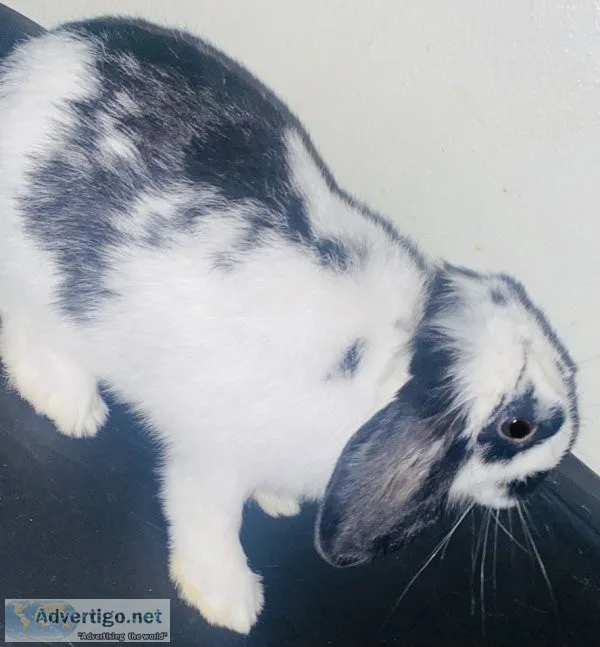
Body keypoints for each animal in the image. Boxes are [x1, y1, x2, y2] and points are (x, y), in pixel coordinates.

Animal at [0, 16, 579, 635]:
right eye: (517, 427)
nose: (538, 483)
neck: (389, 376)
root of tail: (30, 66)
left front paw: (277, 501)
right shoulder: (214, 459)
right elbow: (209, 521)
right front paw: (230, 603)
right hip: (45, 280)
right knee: (31, 328)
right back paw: (71, 405)